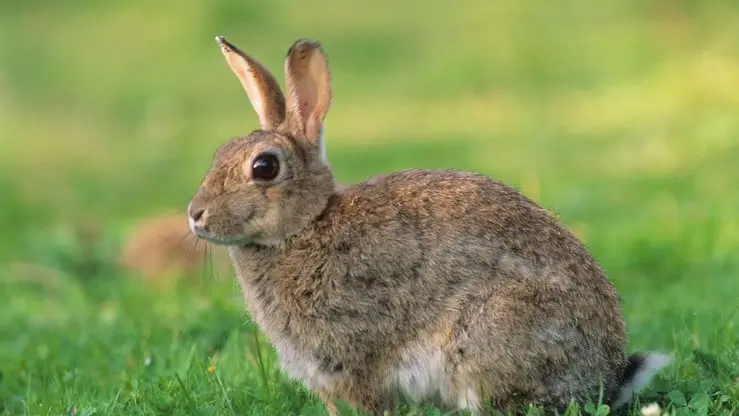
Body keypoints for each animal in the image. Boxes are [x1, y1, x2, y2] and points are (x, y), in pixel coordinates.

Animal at [186, 36, 671, 415]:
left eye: (264, 167)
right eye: (219, 153)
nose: (195, 214)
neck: (305, 226)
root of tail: (605, 377)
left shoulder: (355, 356)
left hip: (485, 345)